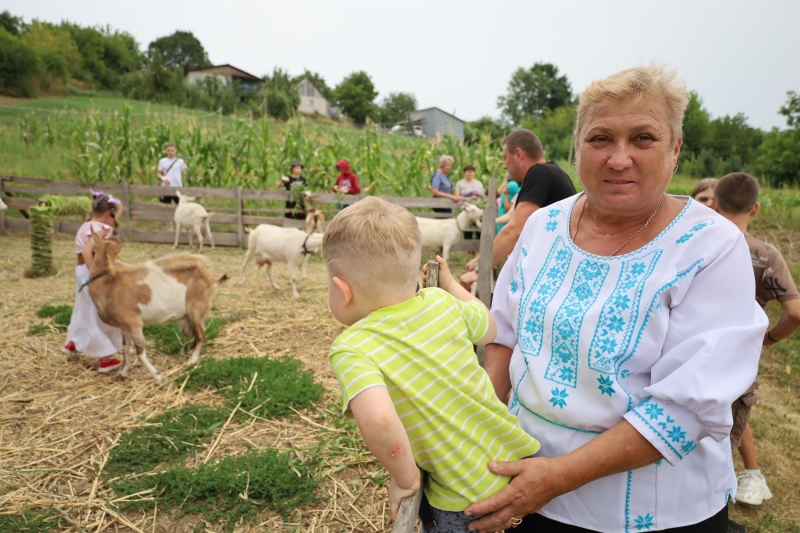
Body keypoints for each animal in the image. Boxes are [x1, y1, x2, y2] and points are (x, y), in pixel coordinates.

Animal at [86, 229, 227, 382]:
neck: (108, 285)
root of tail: (208, 274)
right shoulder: (124, 326)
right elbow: (125, 347)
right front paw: (123, 372)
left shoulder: (134, 324)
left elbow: (140, 352)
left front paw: (158, 376)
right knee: (197, 332)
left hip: (196, 305)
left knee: (201, 333)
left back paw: (192, 361)